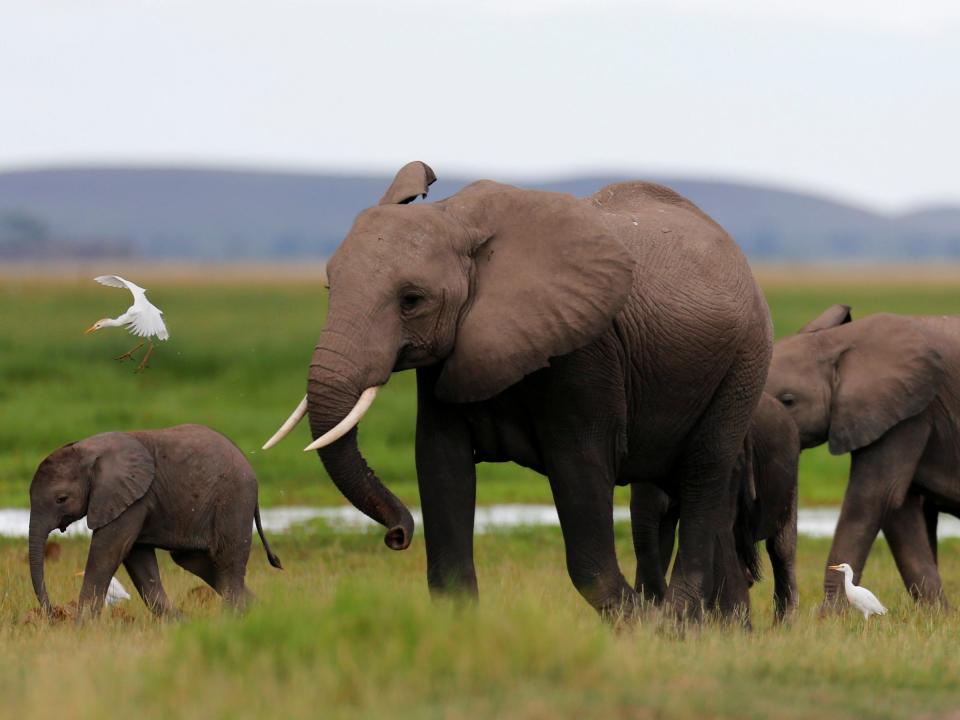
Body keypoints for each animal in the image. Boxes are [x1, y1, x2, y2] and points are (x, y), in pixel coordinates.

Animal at [27, 422, 282, 620]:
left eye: (61, 499)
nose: (52, 615)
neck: (88, 450)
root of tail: (249, 466)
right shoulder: (132, 499)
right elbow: (138, 559)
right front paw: (181, 624)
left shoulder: (132, 499)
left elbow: (107, 551)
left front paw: (83, 629)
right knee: (196, 562)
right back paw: (260, 611)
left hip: (234, 499)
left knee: (227, 563)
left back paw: (232, 620)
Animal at [264, 162, 772, 620]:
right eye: (329, 287)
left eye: (412, 301)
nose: (398, 536)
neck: (458, 218)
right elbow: (440, 463)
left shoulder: (585, 352)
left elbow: (580, 471)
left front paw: (639, 625)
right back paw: (719, 631)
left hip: (743, 364)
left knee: (704, 474)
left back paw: (676, 622)